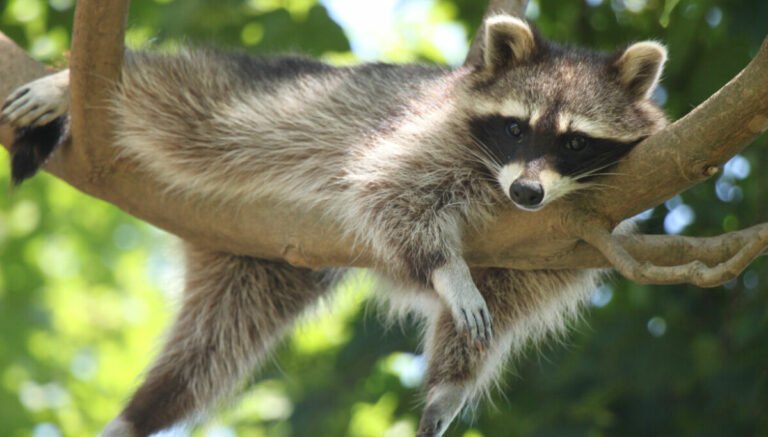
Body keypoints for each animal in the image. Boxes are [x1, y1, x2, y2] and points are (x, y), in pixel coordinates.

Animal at [1, 16, 667, 437]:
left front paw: (450, 384)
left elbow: (506, 298)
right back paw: (76, 83)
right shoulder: (422, 137)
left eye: (575, 141)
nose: (527, 192)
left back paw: (146, 410)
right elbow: (391, 193)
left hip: (257, 264)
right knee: (178, 102)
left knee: (212, 349)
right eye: (515, 127)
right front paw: (447, 271)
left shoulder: (564, 236)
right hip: (263, 107)